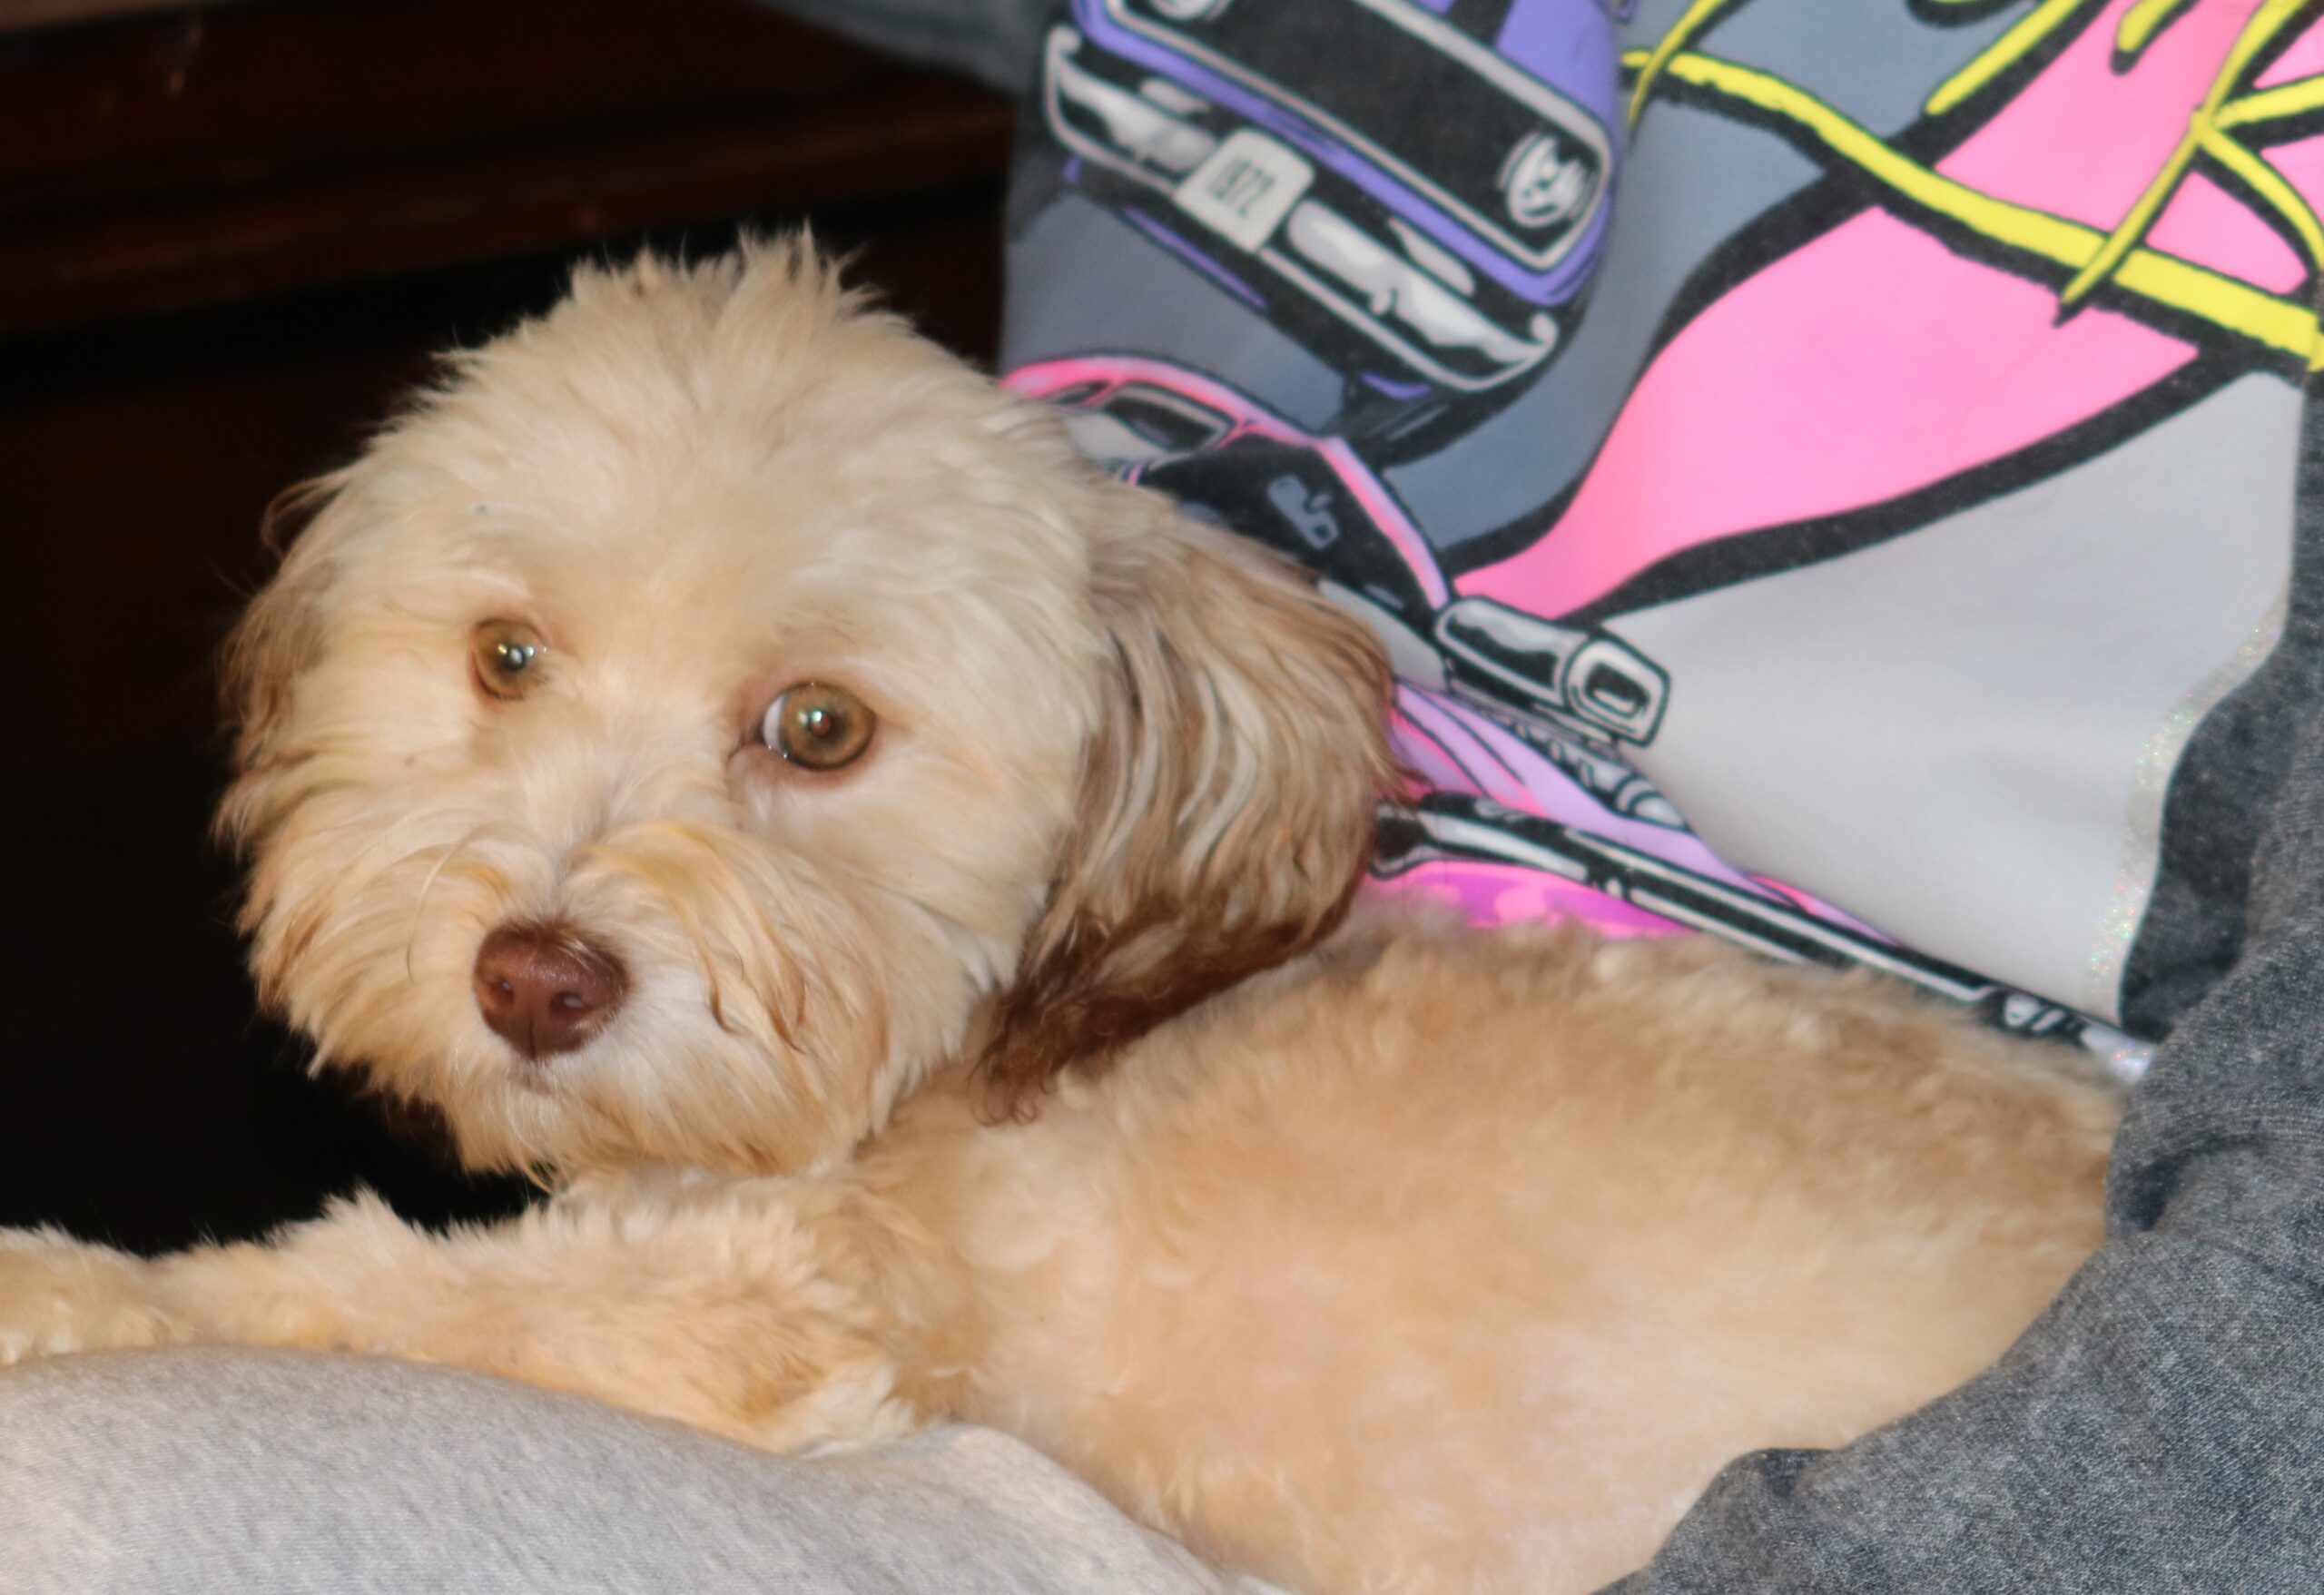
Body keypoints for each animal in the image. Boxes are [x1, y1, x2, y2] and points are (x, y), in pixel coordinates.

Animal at [0, 241, 2119, 1595]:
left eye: (821, 725)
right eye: (504, 656)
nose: (533, 977)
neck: (971, 1043)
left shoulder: (778, 1313)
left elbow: (343, 1284)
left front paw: (60, 1291)